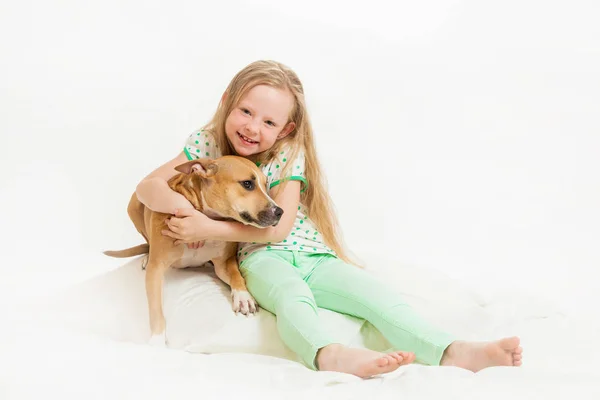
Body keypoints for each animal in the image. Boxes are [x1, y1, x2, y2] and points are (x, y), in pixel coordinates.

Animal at [104, 155, 284, 346]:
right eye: (247, 184)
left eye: (266, 185)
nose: (280, 211)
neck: (207, 218)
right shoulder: (156, 268)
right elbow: (155, 308)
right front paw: (157, 339)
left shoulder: (224, 263)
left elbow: (236, 274)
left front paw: (243, 297)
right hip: (134, 203)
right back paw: (146, 255)